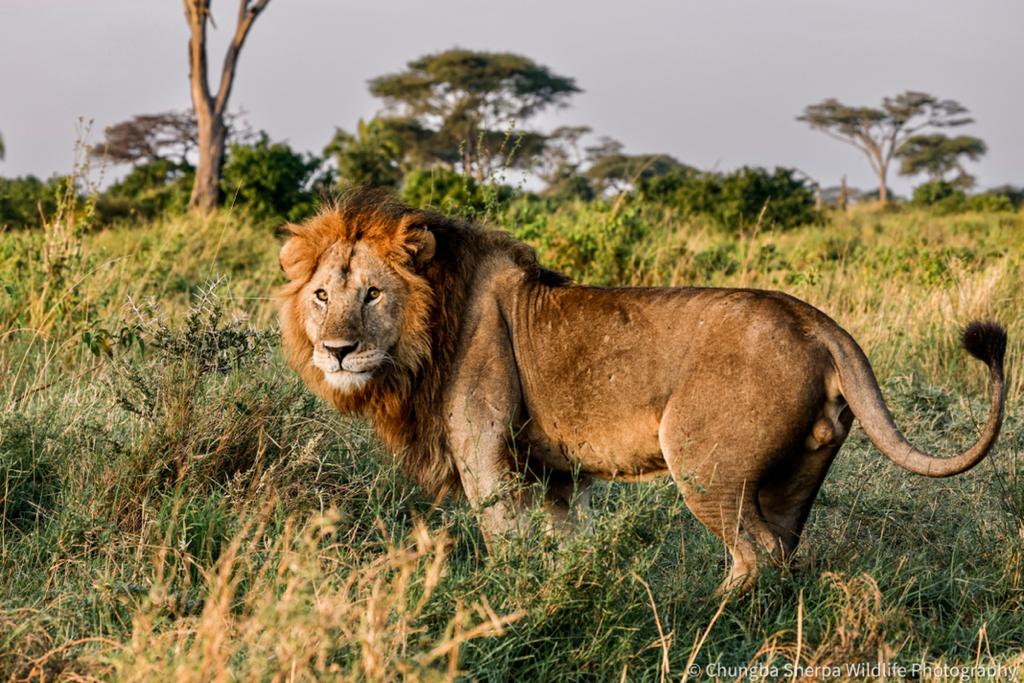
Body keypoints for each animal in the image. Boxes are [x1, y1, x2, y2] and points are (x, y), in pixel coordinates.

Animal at [280, 189, 1007, 593]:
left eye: (373, 294)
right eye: (321, 296)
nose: (336, 349)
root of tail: (819, 322)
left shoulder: (487, 456)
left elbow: (505, 542)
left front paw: (507, 601)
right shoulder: (557, 474)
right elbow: (562, 544)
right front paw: (563, 587)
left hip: (705, 463)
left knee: (757, 552)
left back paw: (704, 616)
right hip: (797, 473)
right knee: (786, 547)